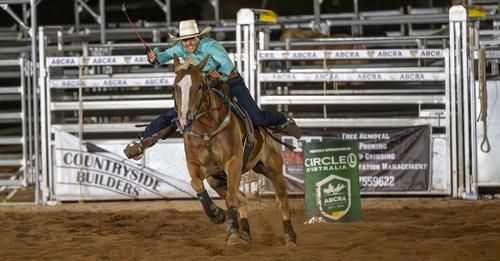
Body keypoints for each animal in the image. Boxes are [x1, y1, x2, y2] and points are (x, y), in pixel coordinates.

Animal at [172, 54, 296, 252]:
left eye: (199, 86)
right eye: (175, 87)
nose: (185, 120)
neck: (207, 131)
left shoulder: (233, 163)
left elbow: (231, 198)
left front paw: (231, 234)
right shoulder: (194, 165)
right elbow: (197, 185)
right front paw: (217, 215)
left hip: (273, 168)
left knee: (282, 200)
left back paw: (290, 237)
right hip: (216, 179)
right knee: (243, 199)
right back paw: (244, 233)